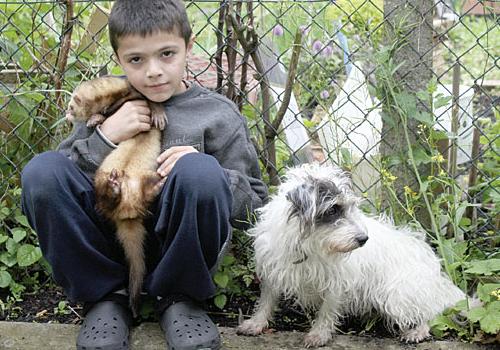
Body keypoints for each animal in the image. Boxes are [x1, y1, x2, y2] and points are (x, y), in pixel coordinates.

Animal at [237, 164, 464, 348]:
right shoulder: (273, 269)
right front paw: (256, 323)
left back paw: (418, 330)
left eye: (349, 207)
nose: (363, 239)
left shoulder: (337, 281)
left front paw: (319, 333)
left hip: (396, 294)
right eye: (333, 210)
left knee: (430, 311)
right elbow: (267, 300)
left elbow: (327, 310)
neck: (309, 244)